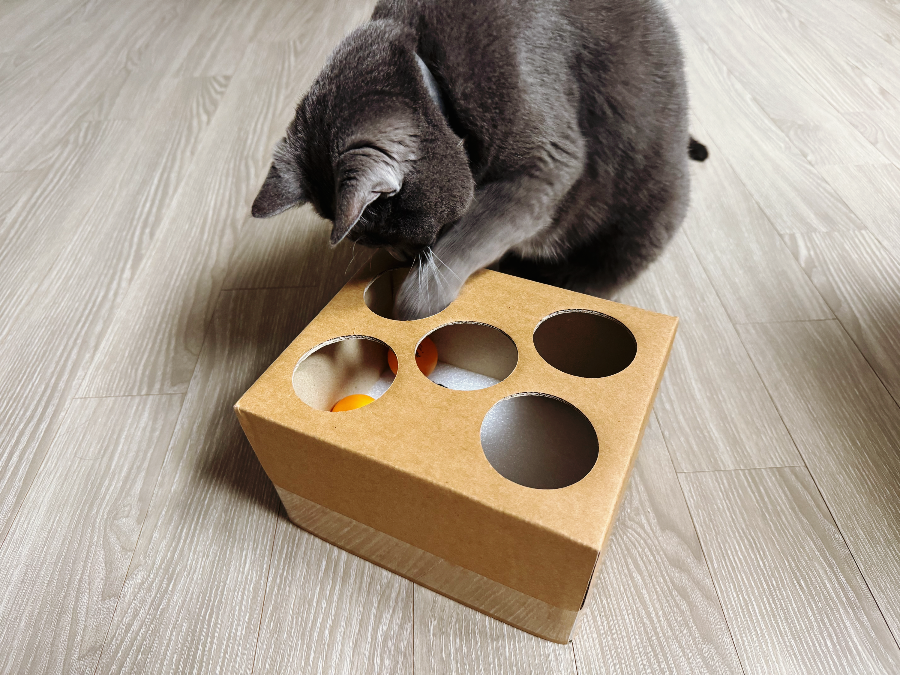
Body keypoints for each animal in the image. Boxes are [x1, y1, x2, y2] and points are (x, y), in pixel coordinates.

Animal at [252, 0, 707, 320]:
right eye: (372, 244)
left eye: (387, 232)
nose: (401, 257)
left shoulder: (543, 164)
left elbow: (470, 236)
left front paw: (411, 302)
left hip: (644, 217)